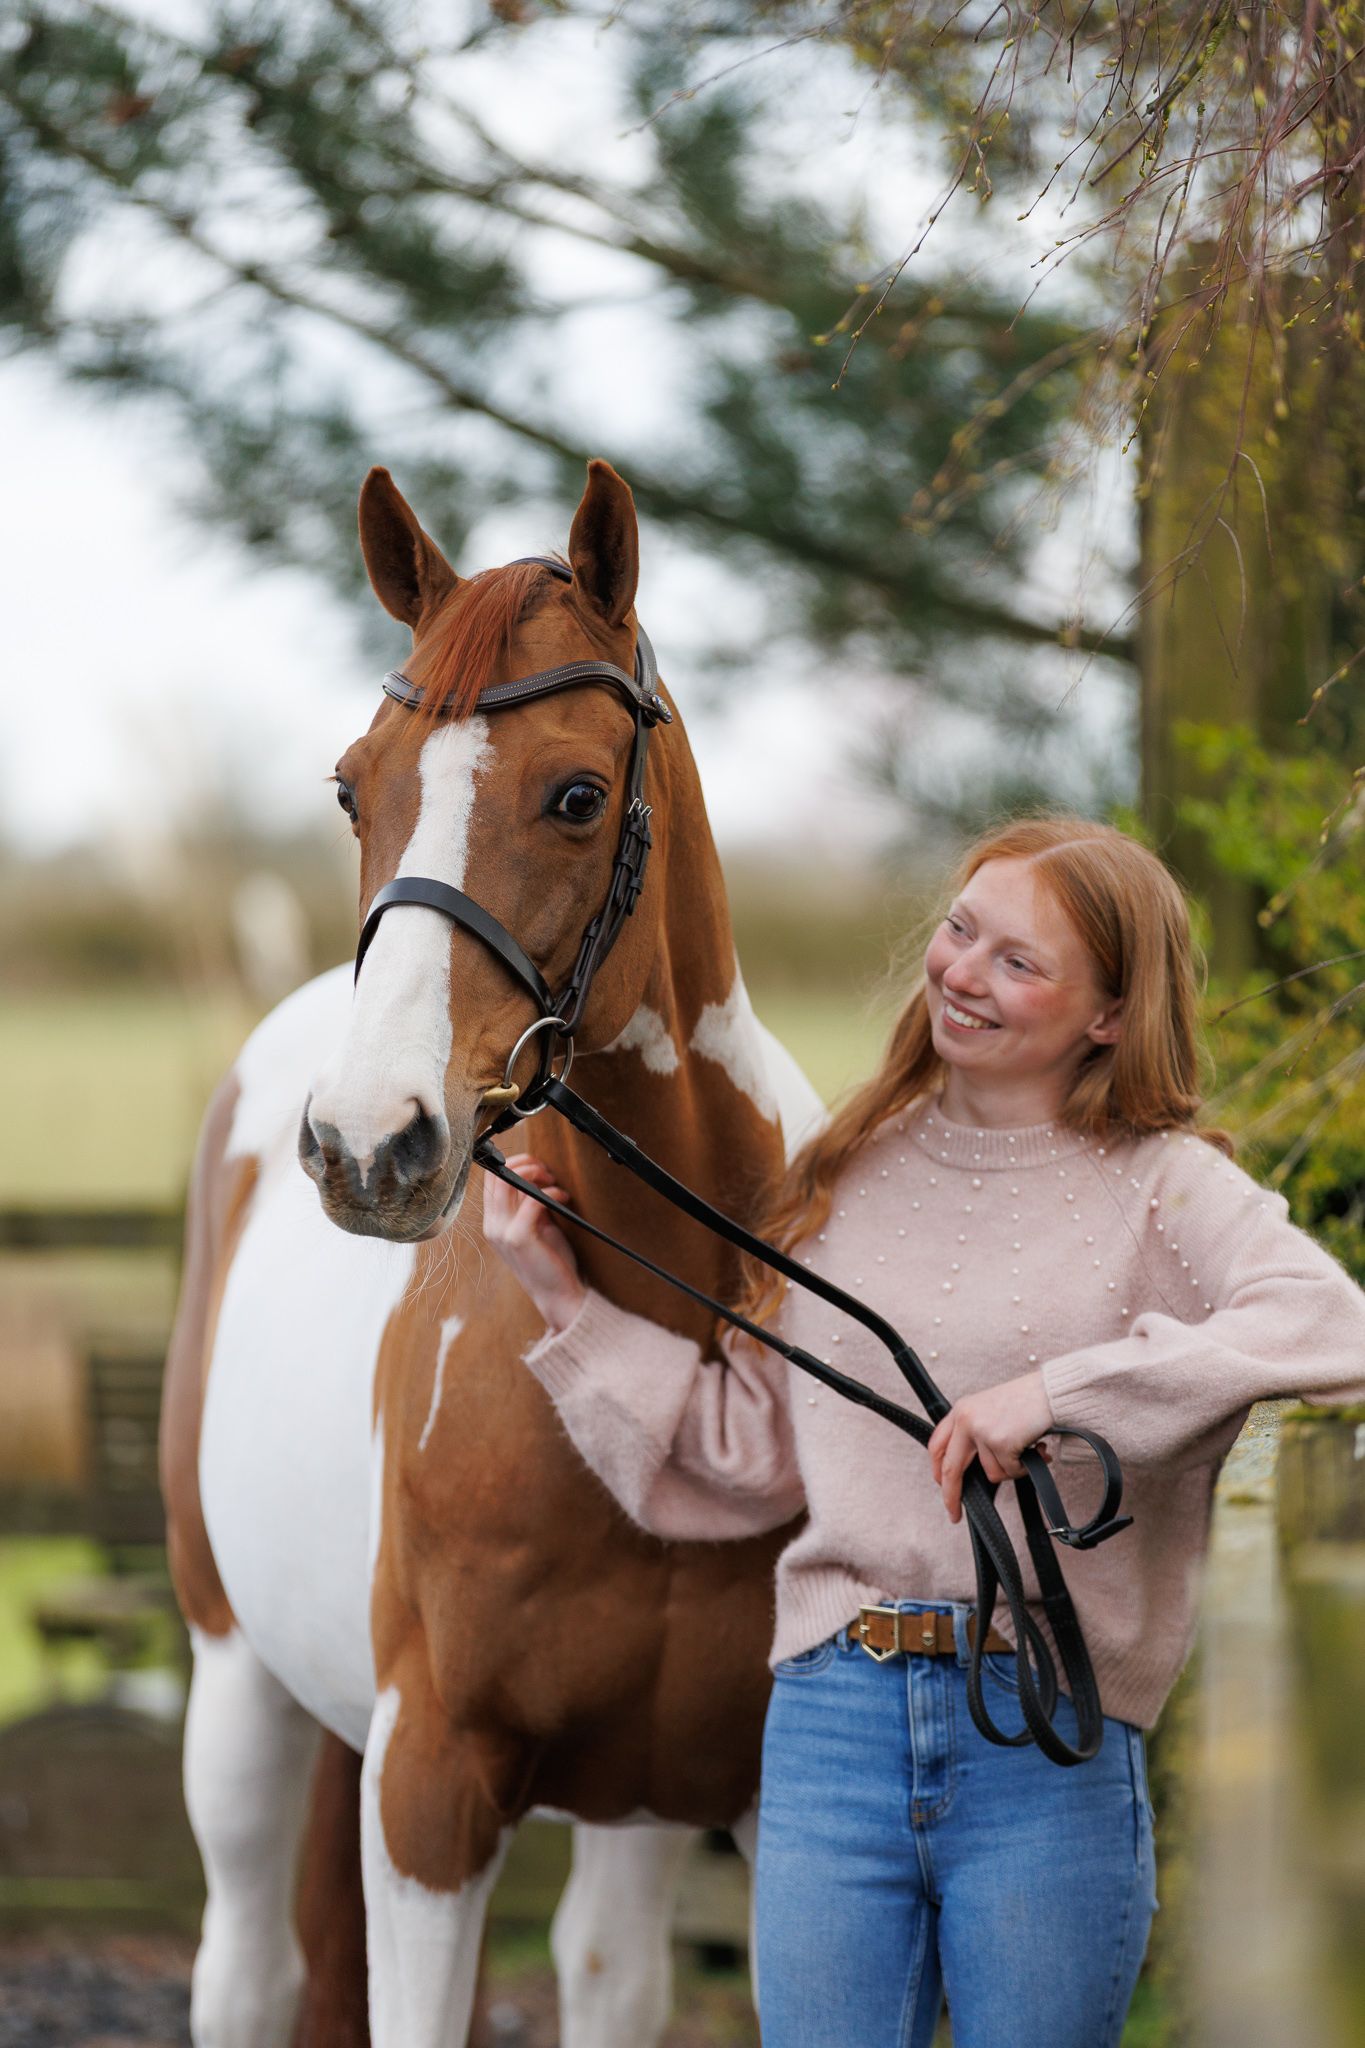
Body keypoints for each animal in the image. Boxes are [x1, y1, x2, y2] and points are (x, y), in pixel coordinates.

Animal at [160, 457, 825, 2047]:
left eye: (577, 795)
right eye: (353, 784)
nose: (365, 1141)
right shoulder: (429, 1792)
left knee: (606, 1970)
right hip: (236, 1682)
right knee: (249, 1973)